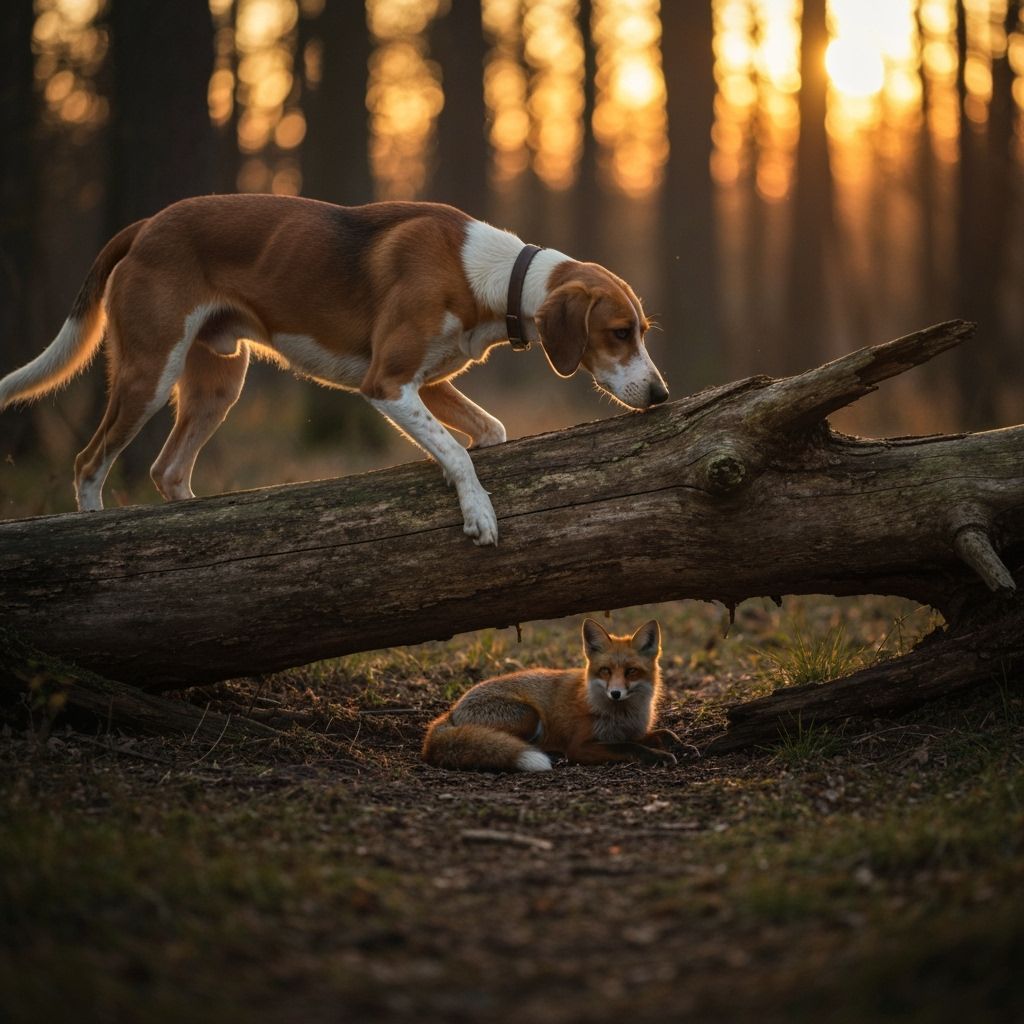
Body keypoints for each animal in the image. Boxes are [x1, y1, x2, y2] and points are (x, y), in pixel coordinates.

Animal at [422, 618, 678, 772]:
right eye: (605, 670)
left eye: (631, 671)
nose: (615, 693)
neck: (623, 715)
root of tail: (450, 712)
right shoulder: (580, 746)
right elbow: (629, 747)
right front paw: (659, 756)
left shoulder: (630, 732)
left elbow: (661, 735)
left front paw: (679, 746)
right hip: (529, 716)